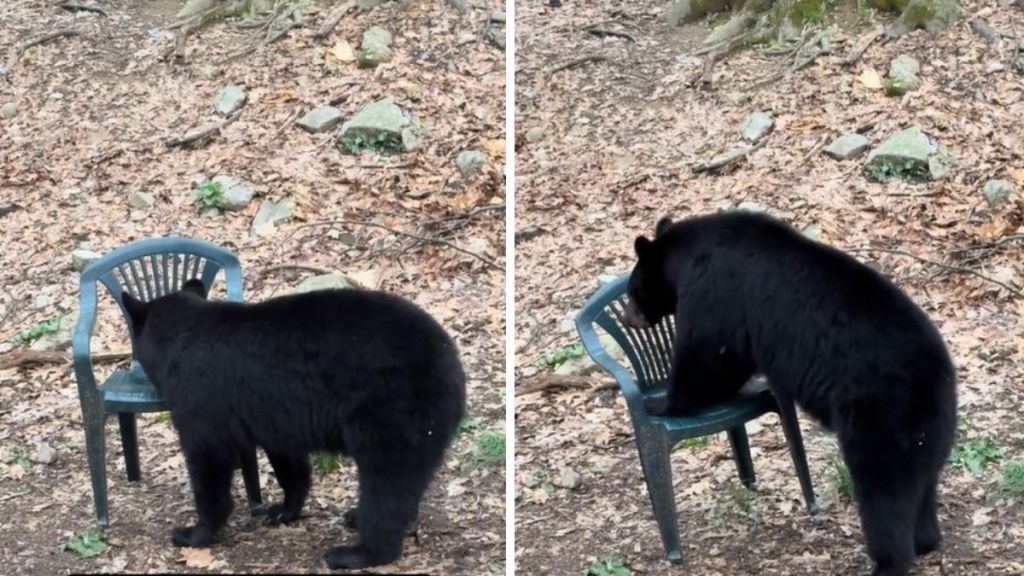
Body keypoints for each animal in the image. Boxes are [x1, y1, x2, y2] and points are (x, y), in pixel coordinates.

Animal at [120, 278, 468, 569]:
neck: (180, 338)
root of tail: (451, 362)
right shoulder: (275, 412)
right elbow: (289, 461)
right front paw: (284, 510)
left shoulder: (200, 398)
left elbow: (209, 460)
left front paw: (193, 533)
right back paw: (364, 518)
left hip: (392, 412)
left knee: (387, 483)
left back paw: (355, 552)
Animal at [622, 212, 958, 573]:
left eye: (631, 289)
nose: (627, 319)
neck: (688, 256)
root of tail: (933, 373)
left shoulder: (715, 294)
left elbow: (707, 357)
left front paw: (663, 405)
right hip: (927, 430)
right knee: (924, 483)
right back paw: (926, 540)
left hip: (877, 415)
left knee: (884, 491)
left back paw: (888, 562)